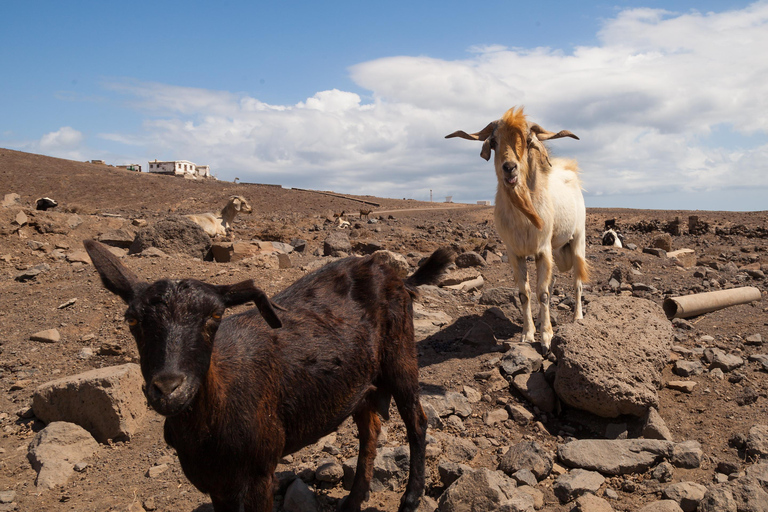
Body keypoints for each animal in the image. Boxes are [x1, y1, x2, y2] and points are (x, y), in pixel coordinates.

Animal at [82, 241, 456, 512]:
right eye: (132, 319)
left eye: (214, 317)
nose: (169, 388)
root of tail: (399, 278)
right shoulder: (217, 484)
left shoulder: (259, 473)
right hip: (361, 382)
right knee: (370, 430)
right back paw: (353, 501)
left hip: (401, 356)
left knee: (417, 422)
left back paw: (410, 499)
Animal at [444, 106, 588, 354]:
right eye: (494, 142)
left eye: (529, 141)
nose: (509, 168)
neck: (524, 217)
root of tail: (571, 172)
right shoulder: (515, 252)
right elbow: (524, 293)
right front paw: (528, 334)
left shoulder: (542, 250)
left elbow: (543, 293)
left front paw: (546, 338)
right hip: (557, 248)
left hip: (578, 240)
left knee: (577, 281)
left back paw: (577, 317)